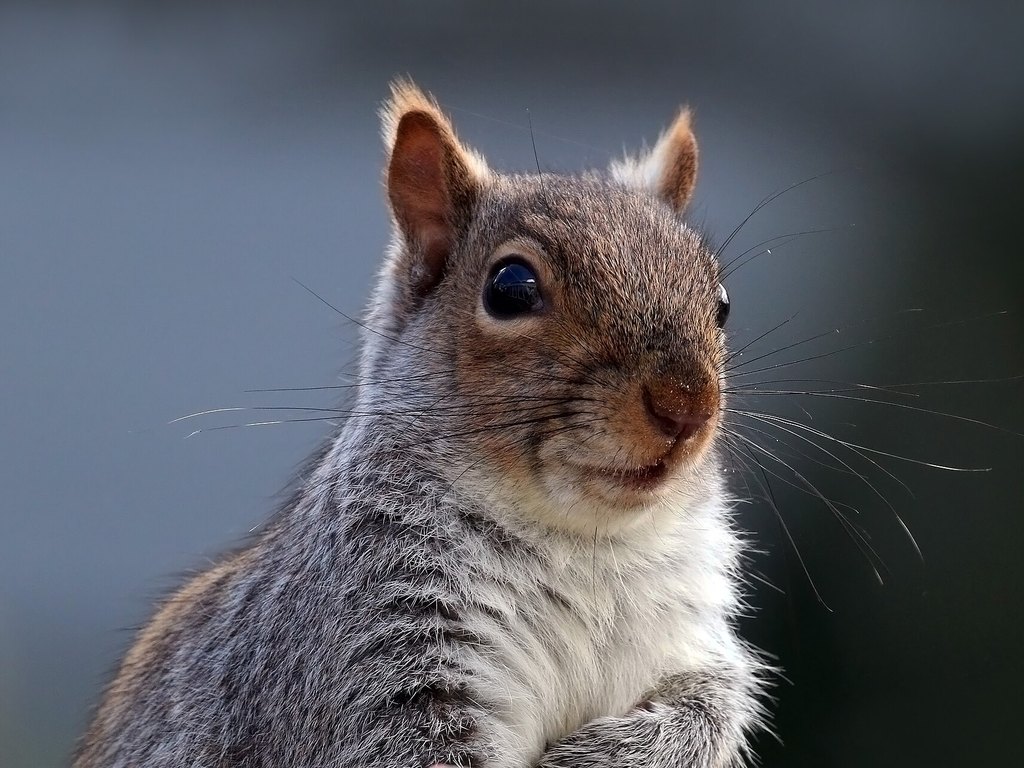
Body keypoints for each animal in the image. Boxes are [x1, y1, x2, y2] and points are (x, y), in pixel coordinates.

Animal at [74, 80, 767, 768]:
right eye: (510, 288)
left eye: (722, 304)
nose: (687, 406)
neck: (585, 543)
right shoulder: (367, 654)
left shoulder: (690, 641)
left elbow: (710, 707)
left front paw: (604, 753)